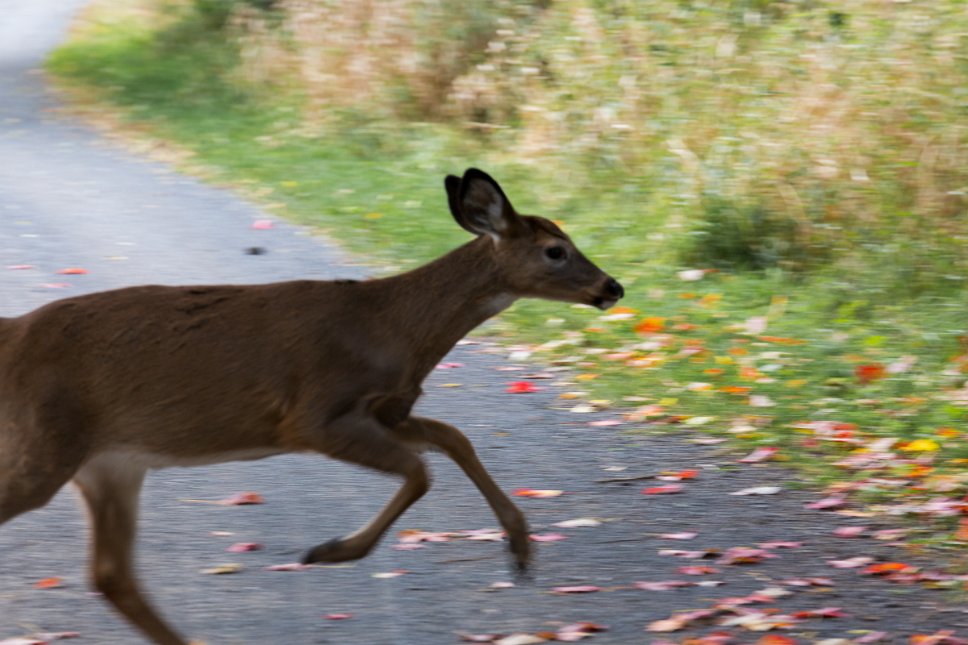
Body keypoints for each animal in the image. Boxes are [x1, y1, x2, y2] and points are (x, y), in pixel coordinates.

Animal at [0, 169, 624, 640]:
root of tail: (11, 334)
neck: (391, 328)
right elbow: (419, 471)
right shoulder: (311, 414)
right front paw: (330, 551)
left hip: (109, 461)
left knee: (111, 575)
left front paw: (520, 548)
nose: (612, 287)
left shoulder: (386, 408)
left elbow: (453, 436)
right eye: (556, 250)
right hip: (49, 441)